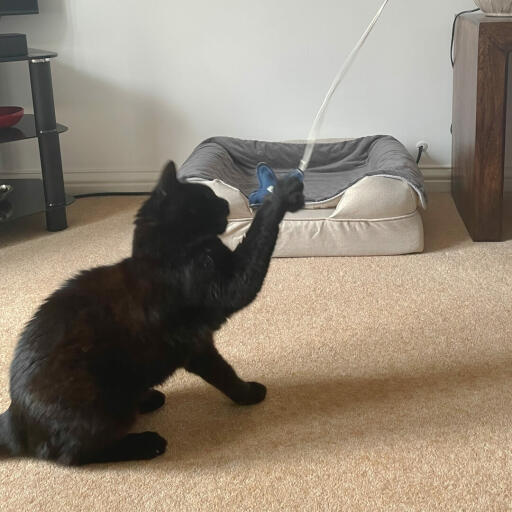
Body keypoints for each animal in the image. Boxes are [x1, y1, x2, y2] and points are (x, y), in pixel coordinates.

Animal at [0, 162, 304, 466]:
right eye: (207, 196)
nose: (226, 203)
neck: (169, 252)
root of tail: (14, 419)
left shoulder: (200, 345)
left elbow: (224, 373)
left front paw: (245, 394)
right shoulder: (232, 285)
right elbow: (260, 230)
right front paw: (281, 193)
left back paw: (148, 399)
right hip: (100, 402)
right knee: (76, 454)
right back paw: (146, 443)